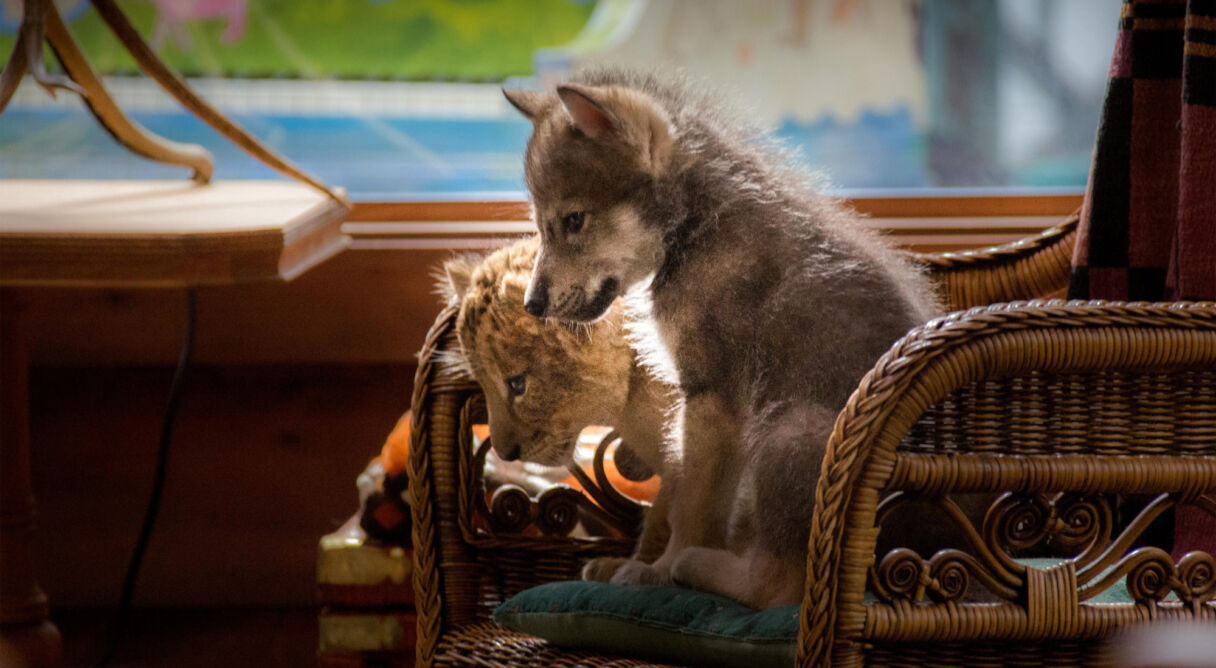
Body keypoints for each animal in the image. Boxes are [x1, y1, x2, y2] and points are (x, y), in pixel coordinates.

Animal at [504, 68, 940, 609]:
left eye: (574, 221)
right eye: (542, 225)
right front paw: (626, 566)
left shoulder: (711, 401)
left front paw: (657, 571)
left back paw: (698, 568)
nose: (532, 305)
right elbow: (679, 497)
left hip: (788, 433)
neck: (695, 230)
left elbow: (691, 508)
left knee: (777, 588)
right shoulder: (696, 409)